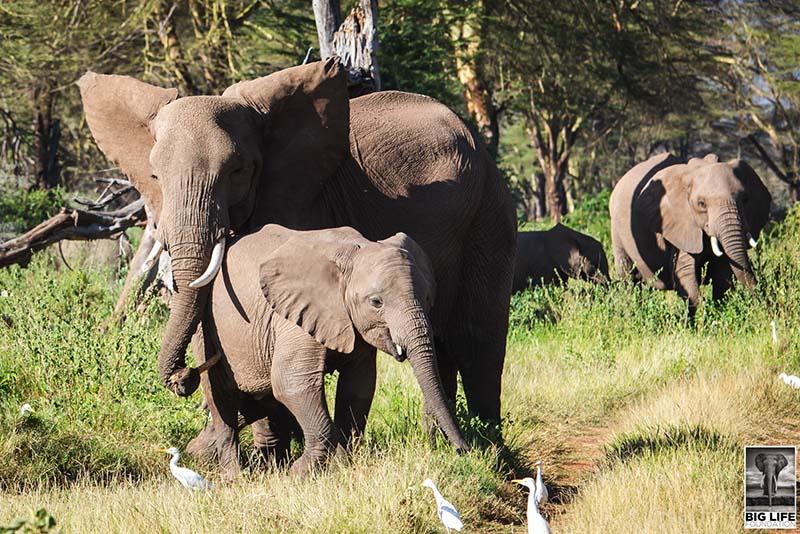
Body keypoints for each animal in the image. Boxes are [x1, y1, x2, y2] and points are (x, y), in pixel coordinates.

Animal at [78, 57, 516, 432]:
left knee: (477, 338)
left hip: (490, 212)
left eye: (237, 171)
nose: (182, 379)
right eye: (154, 174)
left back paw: (486, 446)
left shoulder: (303, 203)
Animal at [187, 223, 466, 478]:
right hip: (206, 327)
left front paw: (342, 464)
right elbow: (292, 383)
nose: (463, 450)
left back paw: (199, 452)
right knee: (221, 395)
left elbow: (358, 386)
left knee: (258, 400)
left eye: (428, 298)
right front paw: (300, 473)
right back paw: (233, 475)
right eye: (376, 302)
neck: (354, 252)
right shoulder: (292, 316)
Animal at [608, 153, 772, 316]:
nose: (768, 307)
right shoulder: (679, 224)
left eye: (745, 199)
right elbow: (684, 273)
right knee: (628, 278)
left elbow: (723, 275)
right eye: (701, 204)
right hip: (617, 229)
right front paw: (700, 317)